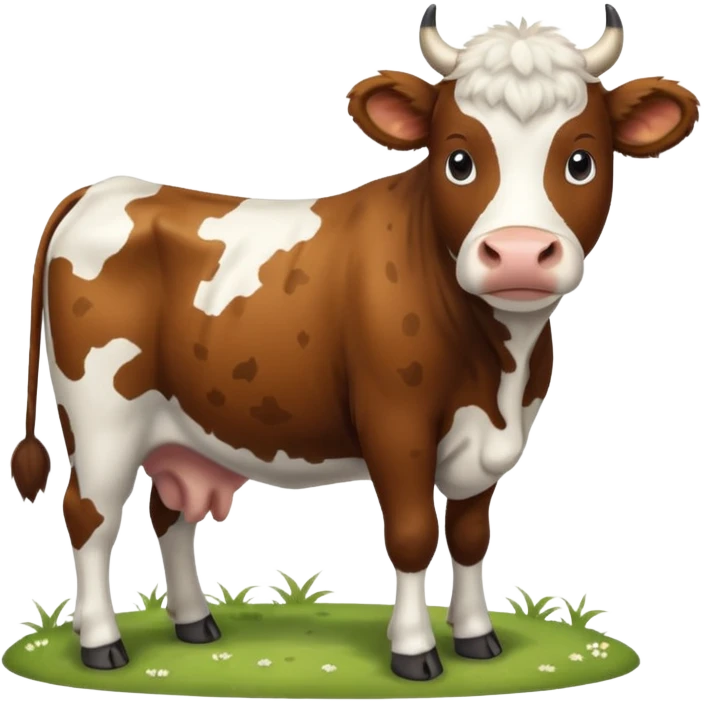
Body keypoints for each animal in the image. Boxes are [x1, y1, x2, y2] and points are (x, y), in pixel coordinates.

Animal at [10, 2, 700, 682]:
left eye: (582, 161)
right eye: (459, 160)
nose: (520, 254)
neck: (500, 368)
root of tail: (106, 187)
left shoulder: (491, 441)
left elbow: (471, 536)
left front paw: (477, 638)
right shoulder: (396, 424)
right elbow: (414, 534)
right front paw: (415, 652)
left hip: (177, 429)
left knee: (169, 513)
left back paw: (194, 624)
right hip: (102, 419)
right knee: (90, 517)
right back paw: (101, 644)